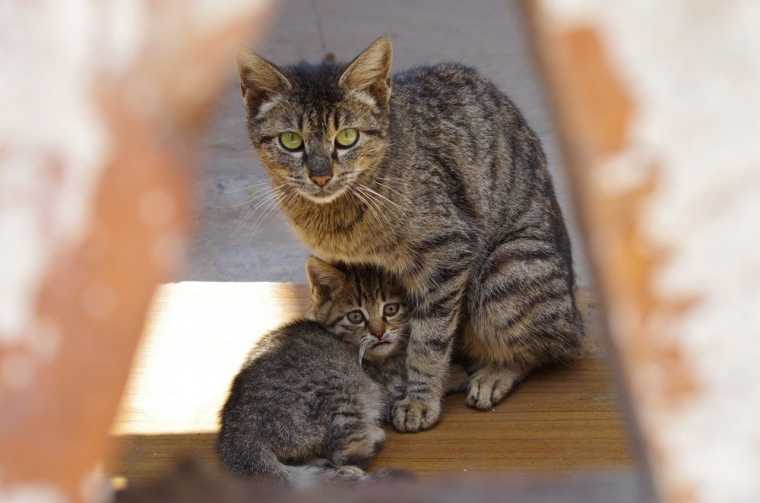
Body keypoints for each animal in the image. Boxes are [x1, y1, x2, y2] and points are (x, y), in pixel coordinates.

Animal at [238, 38, 580, 434]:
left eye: (347, 137)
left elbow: (427, 341)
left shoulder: (447, 255)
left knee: (547, 348)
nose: (321, 175)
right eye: (291, 141)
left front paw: (419, 400)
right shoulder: (343, 261)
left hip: (503, 274)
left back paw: (495, 373)